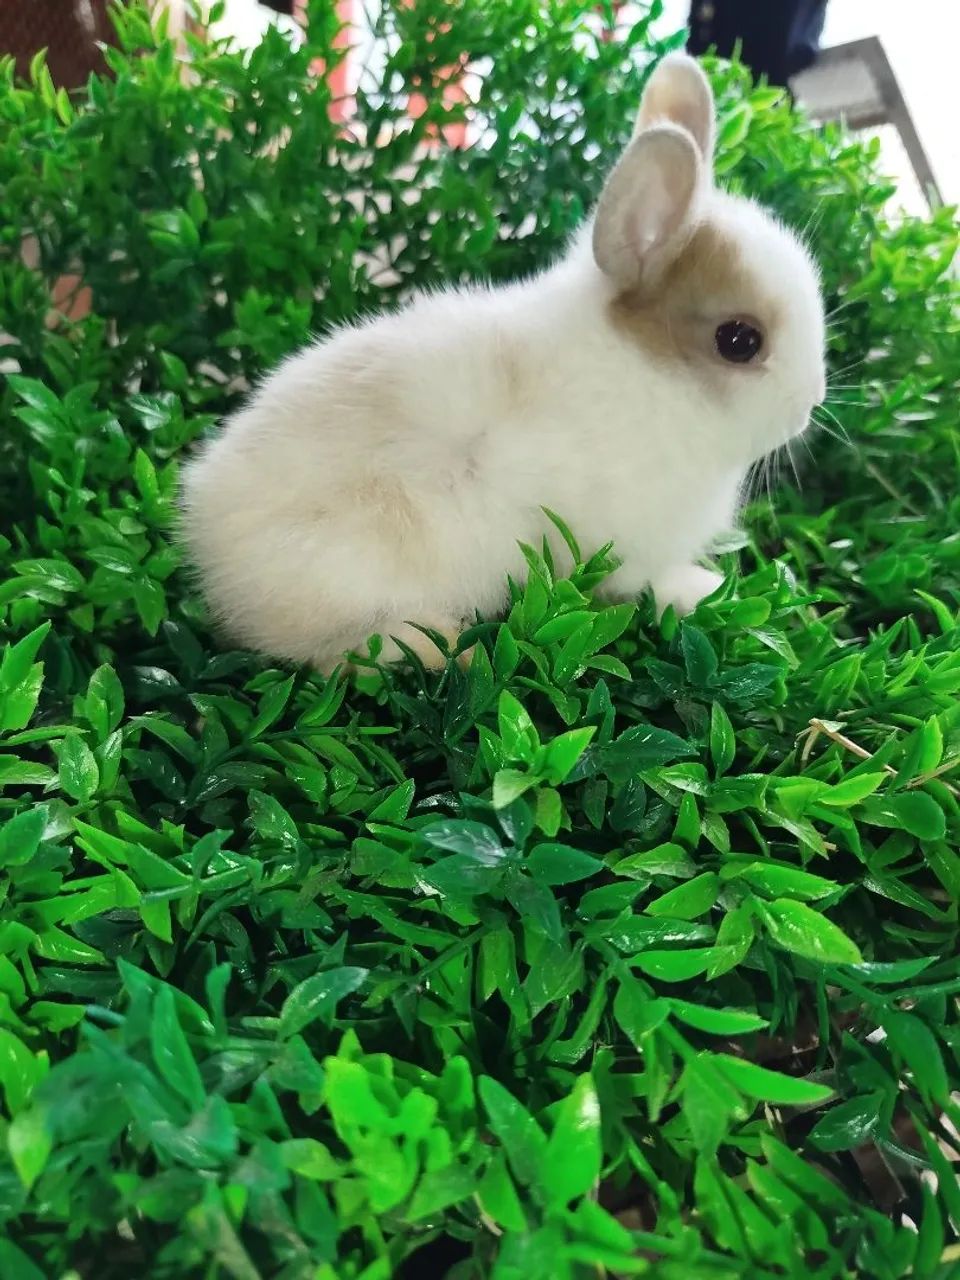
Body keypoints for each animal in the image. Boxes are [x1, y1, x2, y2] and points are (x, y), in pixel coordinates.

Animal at [180, 53, 826, 672]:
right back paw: (448, 650)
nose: (809, 406)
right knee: (342, 654)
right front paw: (701, 590)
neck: (648, 375)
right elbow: (647, 584)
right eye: (739, 340)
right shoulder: (626, 549)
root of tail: (209, 551)